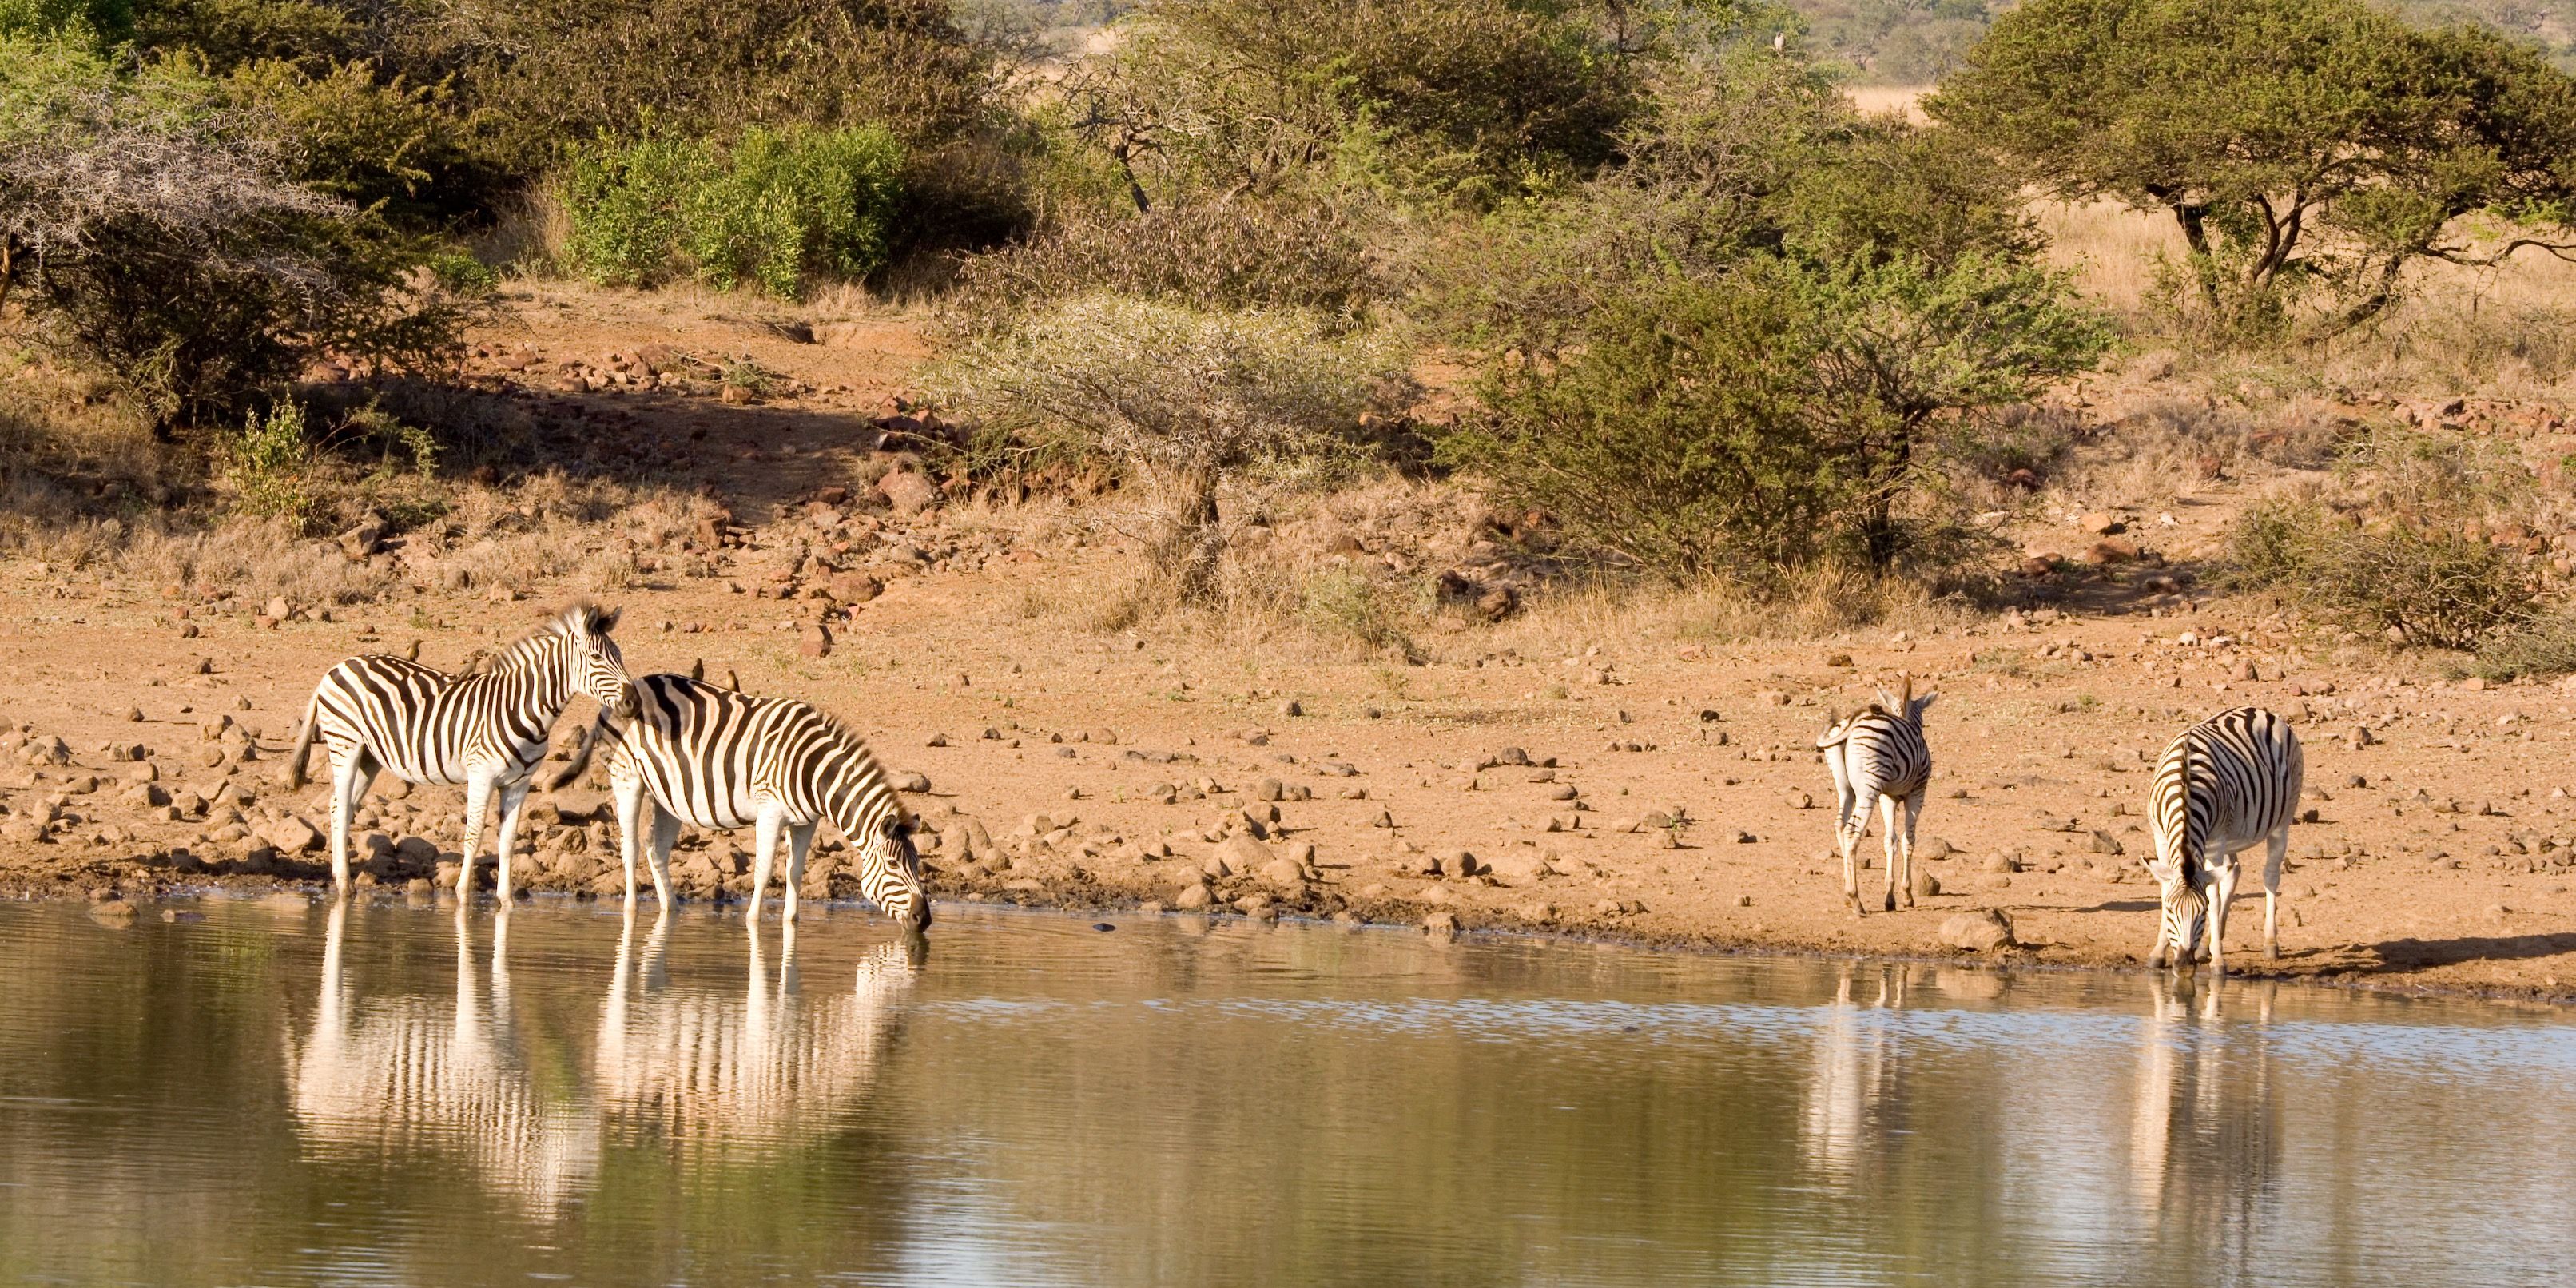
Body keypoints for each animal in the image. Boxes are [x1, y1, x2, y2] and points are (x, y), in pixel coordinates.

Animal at [284, 602, 637, 898]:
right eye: (597, 658)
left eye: (620, 655)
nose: (633, 701)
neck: (525, 710)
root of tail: (339, 665)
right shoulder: (481, 774)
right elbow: (474, 834)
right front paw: (463, 895)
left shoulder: (519, 783)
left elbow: (508, 840)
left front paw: (505, 901)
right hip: (344, 743)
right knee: (341, 806)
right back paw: (344, 886)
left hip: (370, 757)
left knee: (338, 806)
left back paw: (341, 879)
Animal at [549, 673, 931, 932]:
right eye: (894, 866)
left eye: (918, 865)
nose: (924, 919)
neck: (813, 771)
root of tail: (635, 682)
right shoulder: (770, 809)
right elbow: (763, 870)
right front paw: (753, 922)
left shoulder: (806, 821)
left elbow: (795, 871)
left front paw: (792, 922)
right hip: (627, 778)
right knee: (628, 848)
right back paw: (631, 911)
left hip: (669, 795)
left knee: (655, 849)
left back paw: (672, 911)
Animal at [1816, 675, 1936, 915]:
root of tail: (1852, 724)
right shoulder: (1917, 793)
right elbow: (1909, 839)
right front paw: (1907, 894)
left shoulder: (1887, 797)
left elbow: (1890, 840)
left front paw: (1890, 897)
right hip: (1868, 788)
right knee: (1852, 831)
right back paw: (1855, 898)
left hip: (1845, 788)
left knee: (1840, 825)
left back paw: (1847, 891)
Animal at [2146, 706, 2303, 975]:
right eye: (2171, 910)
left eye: (2202, 911)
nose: (2184, 966)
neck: (2185, 788)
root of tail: (2259, 710)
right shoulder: (2161, 838)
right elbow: (2166, 888)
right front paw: (2158, 952)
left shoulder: (2215, 842)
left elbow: (2215, 897)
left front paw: (2218, 961)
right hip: (2231, 836)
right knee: (2233, 873)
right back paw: (2205, 945)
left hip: (2281, 821)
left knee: (2270, 877)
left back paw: (2270, 943)